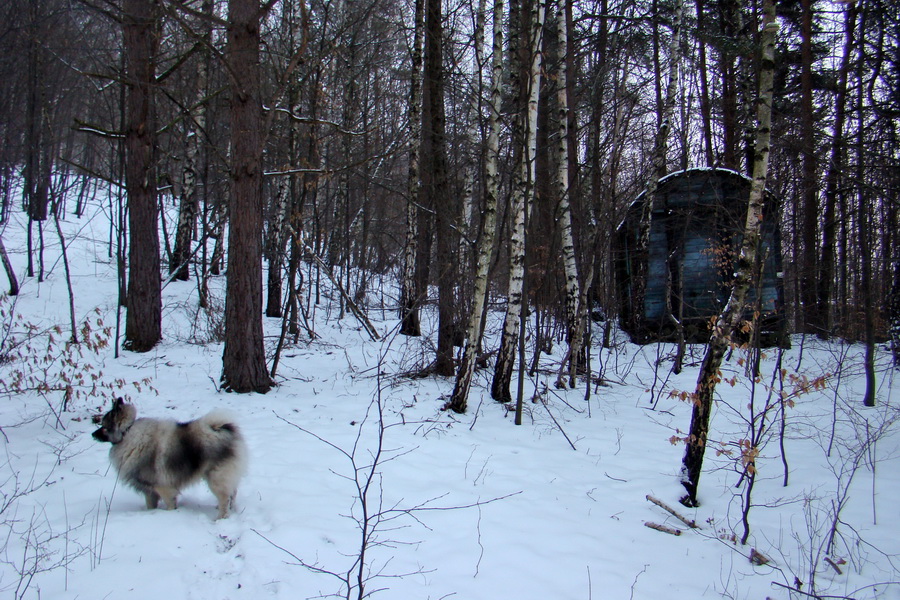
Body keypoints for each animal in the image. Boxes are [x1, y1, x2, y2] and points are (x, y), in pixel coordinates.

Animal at [92, 396, 246, 516]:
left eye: (104, 427)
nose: (92, 434)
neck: (127, 433)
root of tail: (222, 429)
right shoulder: (150, 492)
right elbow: (150, 506)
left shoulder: (163, 488)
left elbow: (170, 504)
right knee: (232, 493)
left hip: (216, 478)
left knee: (225, 498)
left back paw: (220, 517)